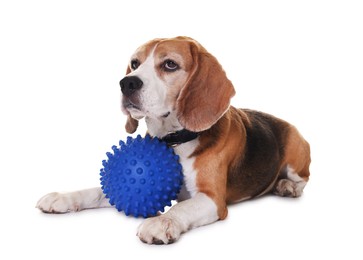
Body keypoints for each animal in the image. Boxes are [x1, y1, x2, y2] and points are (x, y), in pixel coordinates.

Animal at [37, 36, 312, 244]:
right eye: (134, 63)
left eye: (170, 64)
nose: (126, 83)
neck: (173, 140)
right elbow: (95, 191)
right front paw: (63, 197)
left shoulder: (212, 199)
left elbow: (181, 208)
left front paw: (161, 221)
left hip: (295, 153)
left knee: (303, 179)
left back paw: (287, 186)